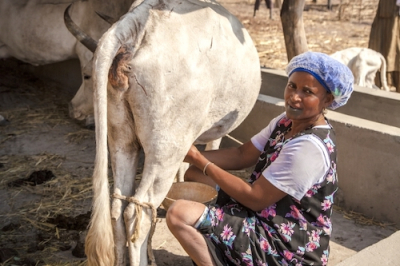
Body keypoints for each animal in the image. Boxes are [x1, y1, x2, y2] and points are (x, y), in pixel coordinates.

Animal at [79, 0, 260, 264]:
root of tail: (136, 20)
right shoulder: (213, 130)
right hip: (166, 145)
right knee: (139, 212)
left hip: (120, 135)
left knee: (118, 206)